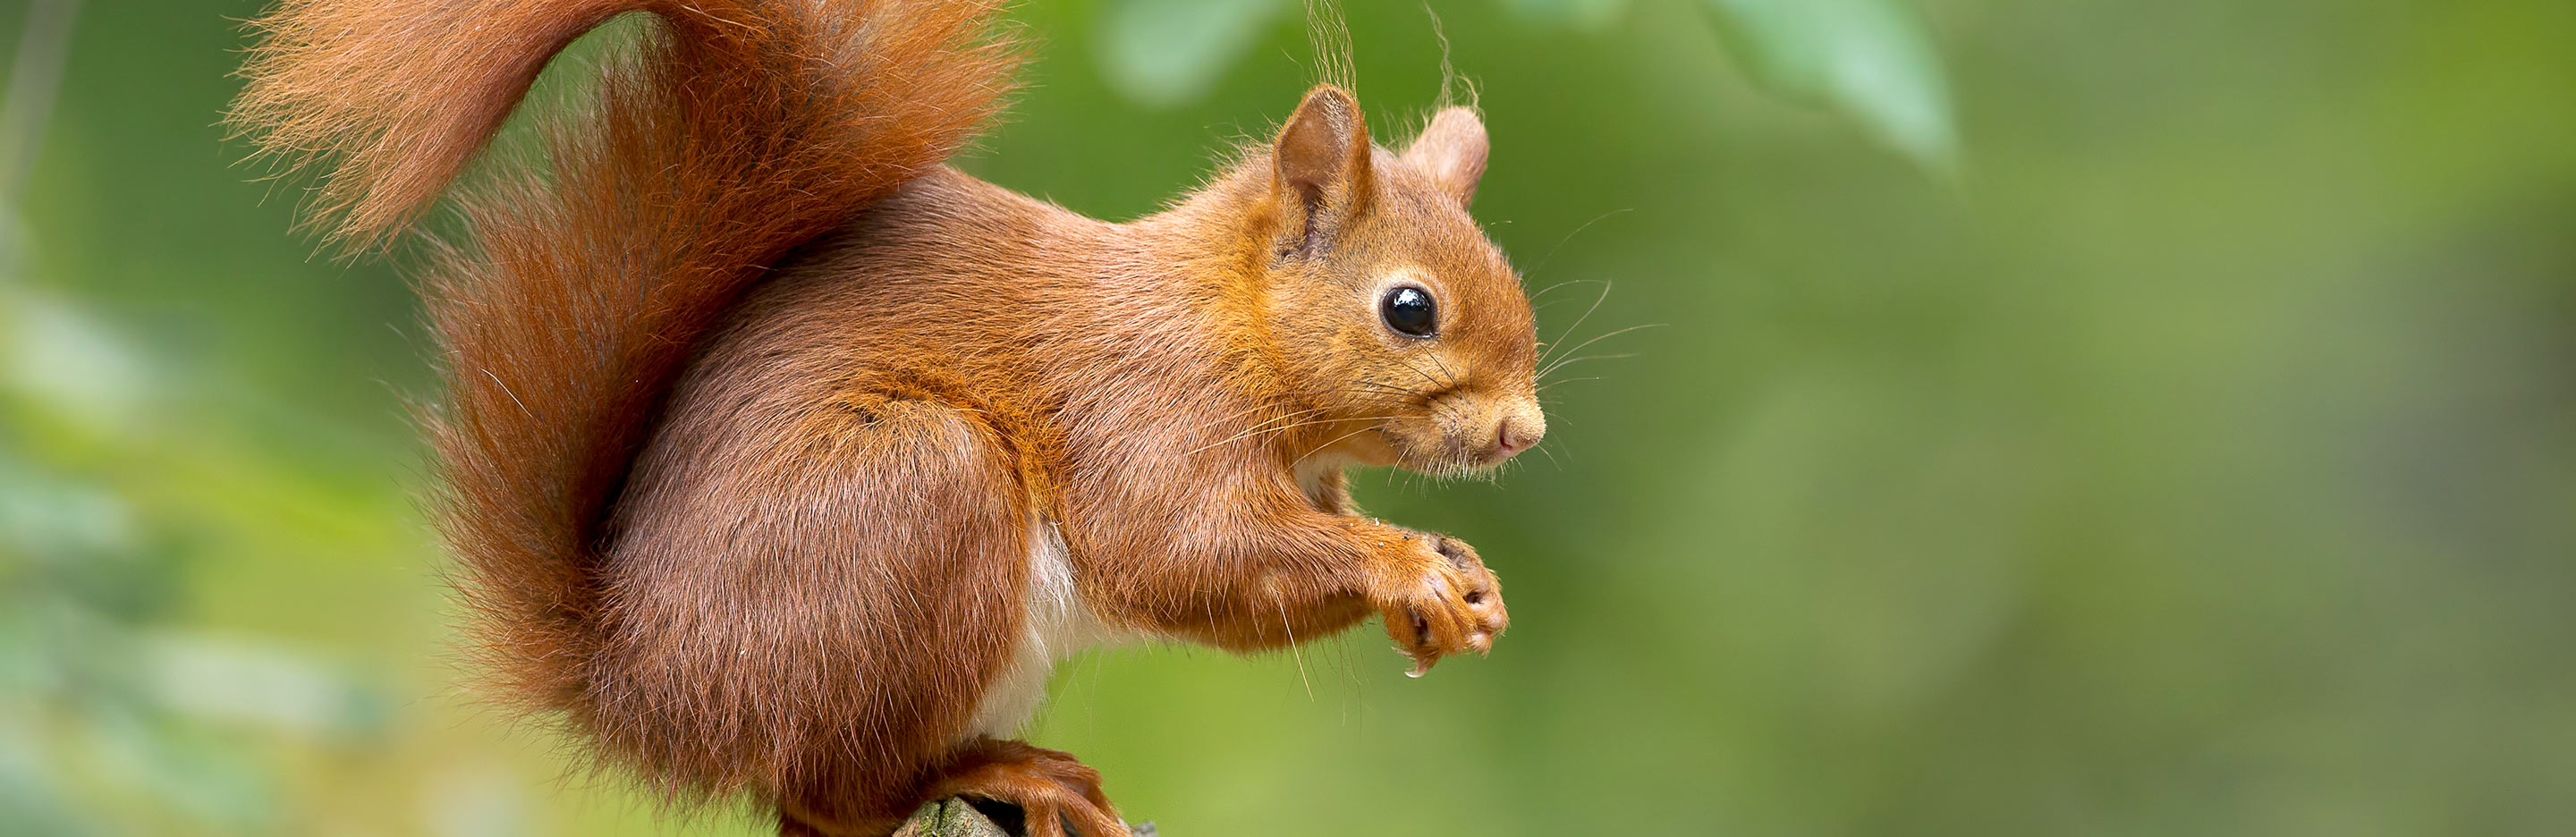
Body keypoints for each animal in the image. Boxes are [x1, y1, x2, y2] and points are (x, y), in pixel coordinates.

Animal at [232, 1, 1544, 834]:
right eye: (1410, 309)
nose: (1524, 434)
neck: (1227, 327)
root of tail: (636, 685)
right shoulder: (1142, 411)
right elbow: (1183, 554)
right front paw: (1404, 567)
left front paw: (1462, 580)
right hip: (916, 494)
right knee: (831, 799)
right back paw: (1009, 776)